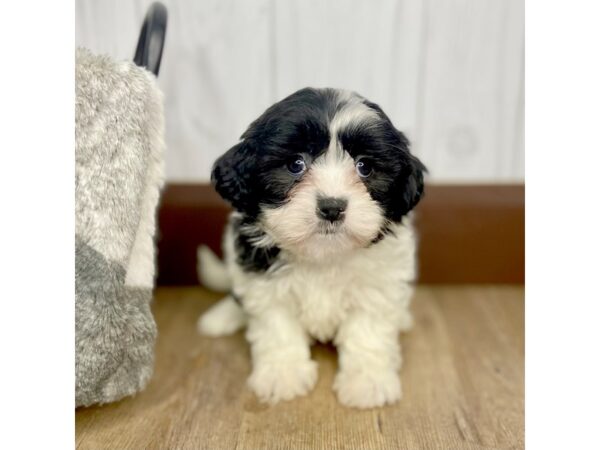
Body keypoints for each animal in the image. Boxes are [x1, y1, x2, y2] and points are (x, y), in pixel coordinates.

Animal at [197, 87, 426, 408]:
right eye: (296, 164)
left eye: (364, 167)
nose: (332, 207)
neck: (323, 255)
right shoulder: (264, 283)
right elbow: (277, 328)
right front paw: (283, 374)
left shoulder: (377, 284)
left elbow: (368, 332)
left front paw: (367, 381)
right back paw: (223, 316)